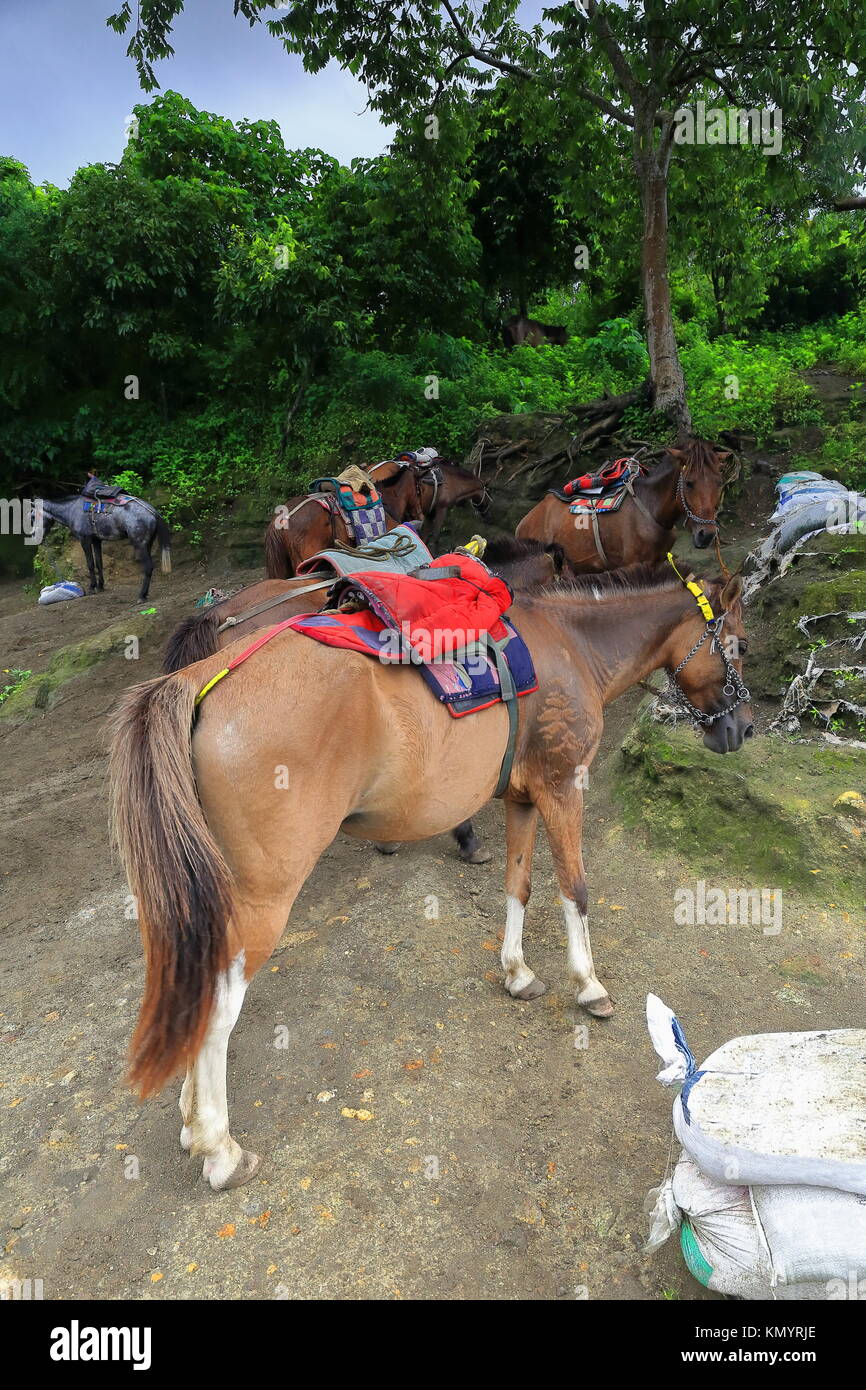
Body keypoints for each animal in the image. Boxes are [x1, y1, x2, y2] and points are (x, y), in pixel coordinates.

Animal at [37, 497, 173, 600]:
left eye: (33, 516)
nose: (38, 539)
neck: (72, 510)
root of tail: (153, 512)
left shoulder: (85, 540)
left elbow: (90, 564)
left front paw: (92, 587)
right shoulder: (97, 540)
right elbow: (99, 563)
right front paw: (100, 586)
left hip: (140, 544)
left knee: (148, 567)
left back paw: (141, 596)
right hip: (148, 544)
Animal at [108, 558, 750, 1189]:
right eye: (740, 646)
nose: (742, 730)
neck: (572, 645)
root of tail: (198, 680)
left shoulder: (522, 799)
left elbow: (518, 886)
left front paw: (517, 971)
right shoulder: (563, 788)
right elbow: (575, 890)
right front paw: (588, 984)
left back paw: (193, 1123)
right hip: (261, 900)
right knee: (217, 1011)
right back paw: (220, 1148)